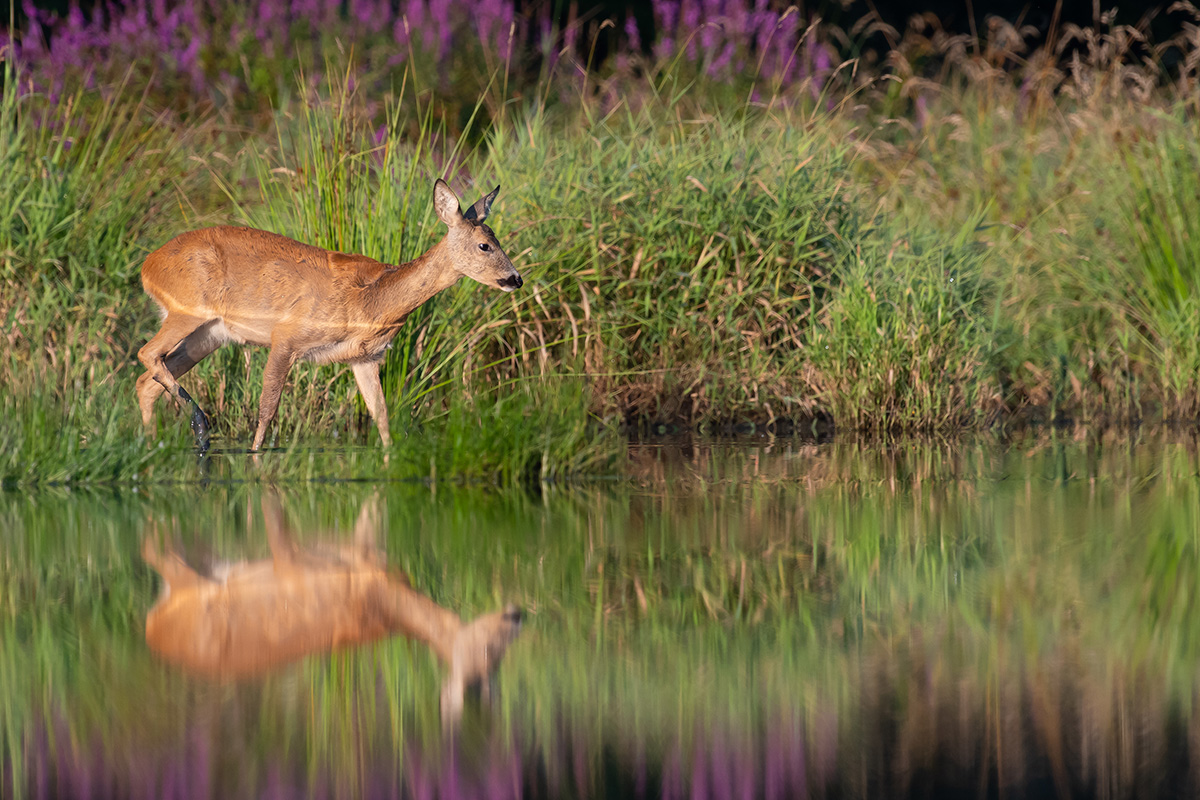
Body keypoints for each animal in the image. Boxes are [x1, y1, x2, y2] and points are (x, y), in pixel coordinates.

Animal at [135, 179, 520, 450]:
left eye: (497, 239)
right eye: (485, 245)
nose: (515, 278)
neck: (372, 301)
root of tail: (147, 265)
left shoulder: (364, 357)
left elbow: (380, 415)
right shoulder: (286, 337)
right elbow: (267, 410)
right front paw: (255, 459)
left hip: (210, 334)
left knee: (147, 380)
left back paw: (158, 445)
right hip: (187, 309)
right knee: (147, 354)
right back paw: (200, 428)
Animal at [139, 494, 520, 724]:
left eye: (501, 660)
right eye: (488, 651)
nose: (517, 614)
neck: (384, 599)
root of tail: (151, 629)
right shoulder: (306, 565)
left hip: (204, 560)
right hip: (189, 583)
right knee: (152, 549)